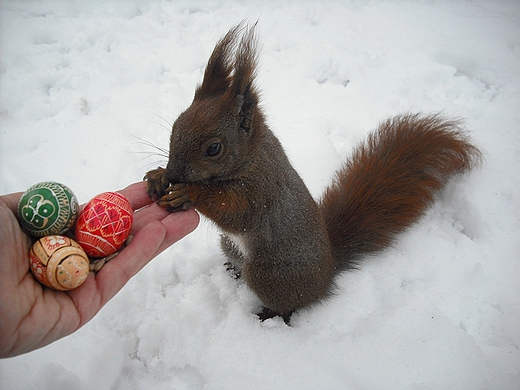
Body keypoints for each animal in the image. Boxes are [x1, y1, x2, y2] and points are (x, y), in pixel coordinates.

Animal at [144, 24, 482, 322]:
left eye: (213, 148)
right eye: (176, 125)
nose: (174, 172)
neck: (251, 157)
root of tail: (328, 271)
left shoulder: (261, 190)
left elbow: (237, 212)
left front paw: (189, 192)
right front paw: (158, 176)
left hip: (269, 276)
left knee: (292, 304)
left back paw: (270, 315)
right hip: (230, 247)